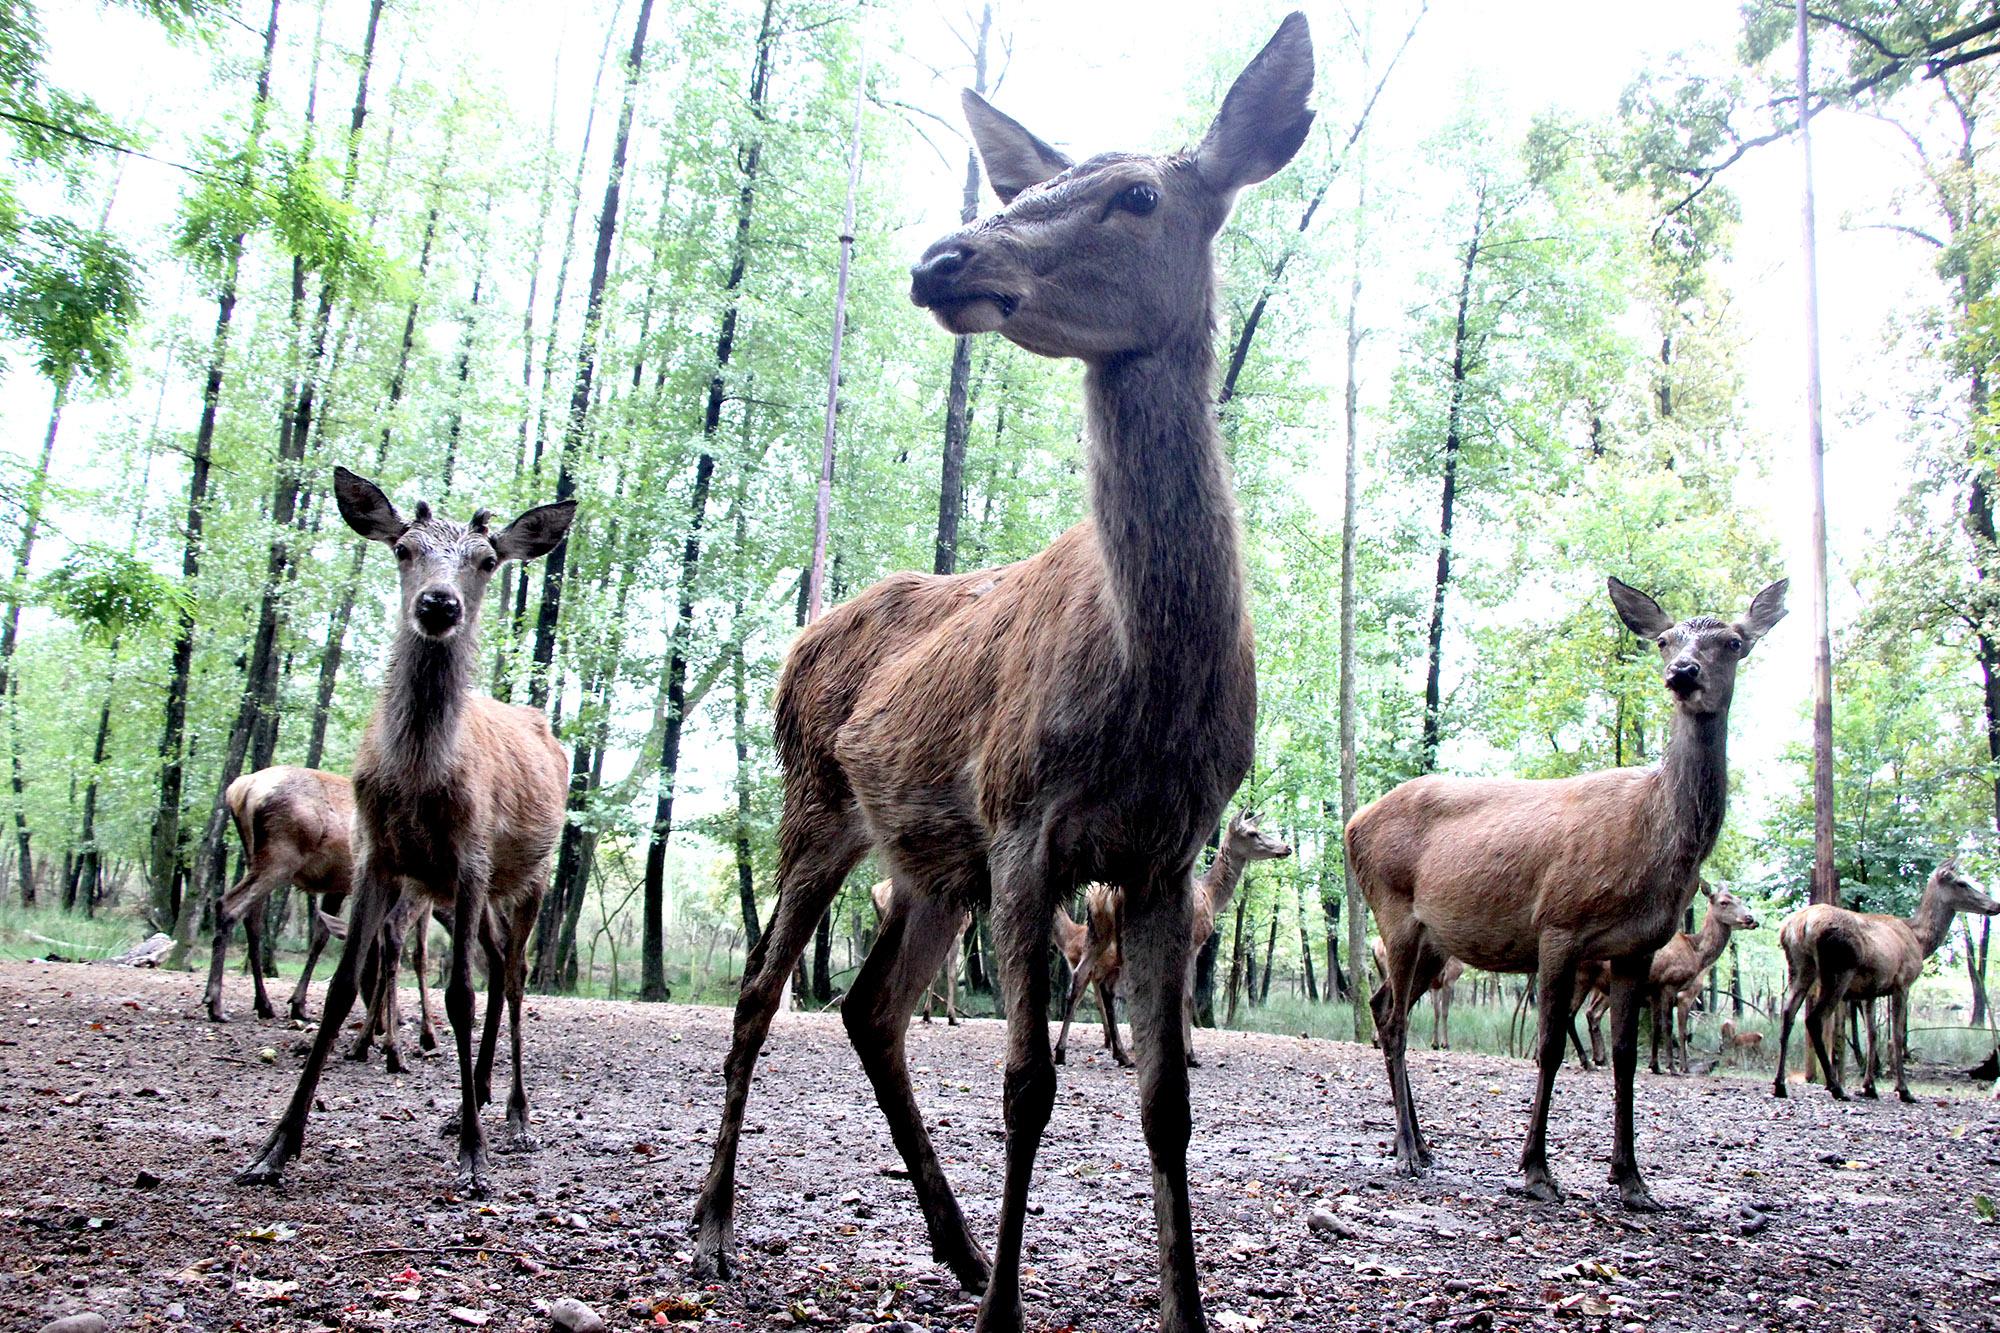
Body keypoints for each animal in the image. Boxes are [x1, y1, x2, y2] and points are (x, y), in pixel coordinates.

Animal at [240, 470, 580, 1192]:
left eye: (487, 560)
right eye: (404, 547)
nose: (439, 603)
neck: (420, 778)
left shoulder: (472, 856)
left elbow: (459, 996)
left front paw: (475, 1158)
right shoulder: (378, 856)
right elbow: (344, 986)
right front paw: (276, 1146)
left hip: (528, 876)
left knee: (514, 975)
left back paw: (513, 1114)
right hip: (467, 896)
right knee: (497, 961)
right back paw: (470, 1101)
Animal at [872, 880, 972, 1024]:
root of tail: (875, 890)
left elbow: (934, 972)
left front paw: (926, 1013)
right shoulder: (958, 933)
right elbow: (951, 974)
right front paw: (952, 1016)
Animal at [1352, 572, 1792, 1200]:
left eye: (1733, 642)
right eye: (1665, 641)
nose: (1683, 673)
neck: (1652, 839)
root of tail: (1353, 823)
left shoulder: (1639, 947)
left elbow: (1628, 1054)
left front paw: (1632, 1179)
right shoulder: (1558, 924)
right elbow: (1551, 1046)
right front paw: (1536, 1170)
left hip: (1434, 940)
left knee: (1383, 1003)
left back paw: (1419, 1144)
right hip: (1395, 911)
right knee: (1392, 1021)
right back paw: (1409, 1152)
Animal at [1776, 856, 1992, 1096]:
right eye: (1962, 883)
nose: (1995, 905)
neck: (1919, 941)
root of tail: (1799, 926)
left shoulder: (1869, 991)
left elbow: (1872, 1035)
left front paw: (1869, 1086)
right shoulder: (1902, 982)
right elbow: (1896, 1036)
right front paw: (1903, 1090)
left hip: (1799, 968)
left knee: (1787, 1013)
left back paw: (1780, 1084)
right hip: (1838, 969)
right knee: (1814, 1018)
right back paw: (1835, 1087)